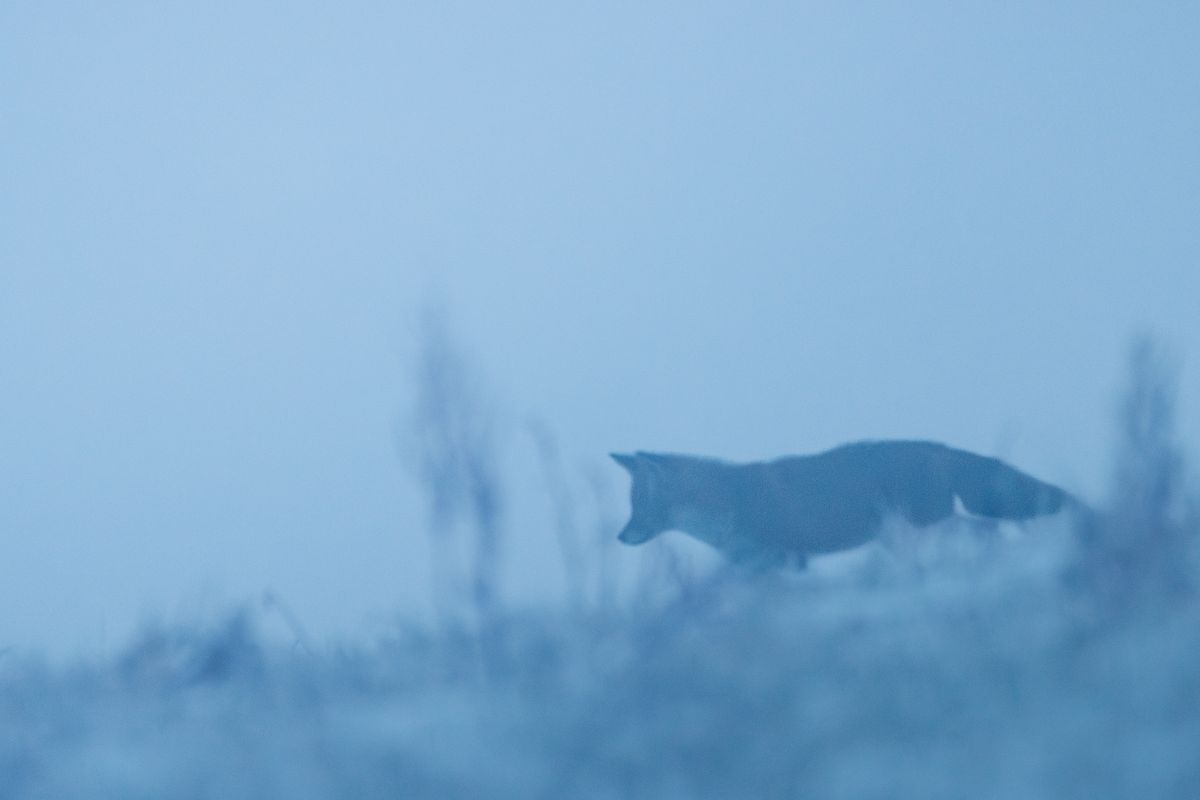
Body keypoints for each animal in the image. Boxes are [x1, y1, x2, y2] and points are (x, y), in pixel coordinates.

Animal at [612, 440, 1079, 569]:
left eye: (640, 505)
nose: (620, 536)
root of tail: (938, 446)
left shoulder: (776, 560)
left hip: (923, 524)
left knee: (988, 530)